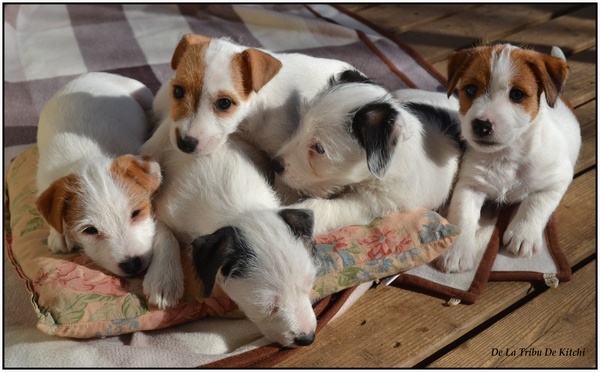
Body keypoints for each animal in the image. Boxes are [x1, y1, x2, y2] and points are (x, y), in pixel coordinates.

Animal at [436, 44, 580, 274]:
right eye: (470, 90)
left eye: (517, 95)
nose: (482, 125)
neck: (506, 156)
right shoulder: (469, 185)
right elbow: (463, 214)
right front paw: (456, 251)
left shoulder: (558, 179)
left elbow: (536, 203)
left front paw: (523, 235)